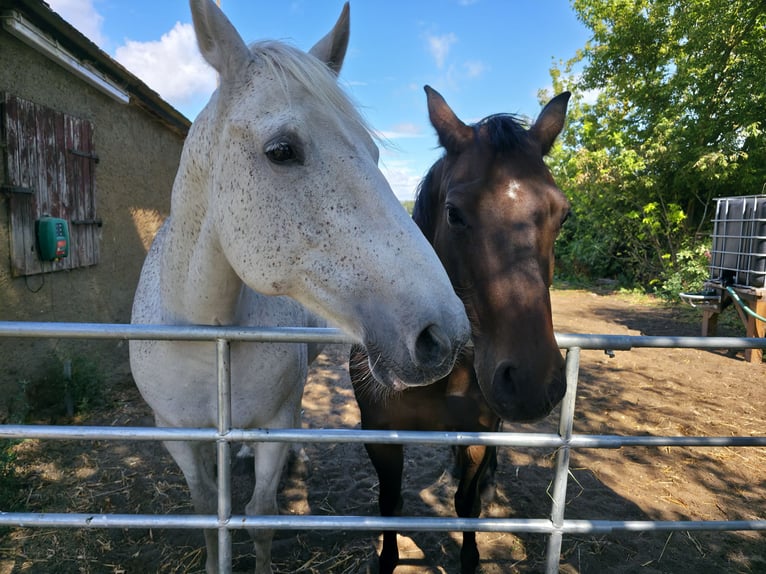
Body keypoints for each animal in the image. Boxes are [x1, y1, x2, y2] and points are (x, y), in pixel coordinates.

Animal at [129, 2, 471, 573]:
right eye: (281, 150)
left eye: (374, 153)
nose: (444, 335)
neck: (205, 336)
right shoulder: (174, 433)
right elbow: (205, 506)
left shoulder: (274, 422)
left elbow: (261, 514)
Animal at [350, 85, 571, 573]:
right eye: (454, 213)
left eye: (563, 215)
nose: (531, 382)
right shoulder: (381, 434)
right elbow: (390, 504)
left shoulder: (476, 432)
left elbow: (466, 505)